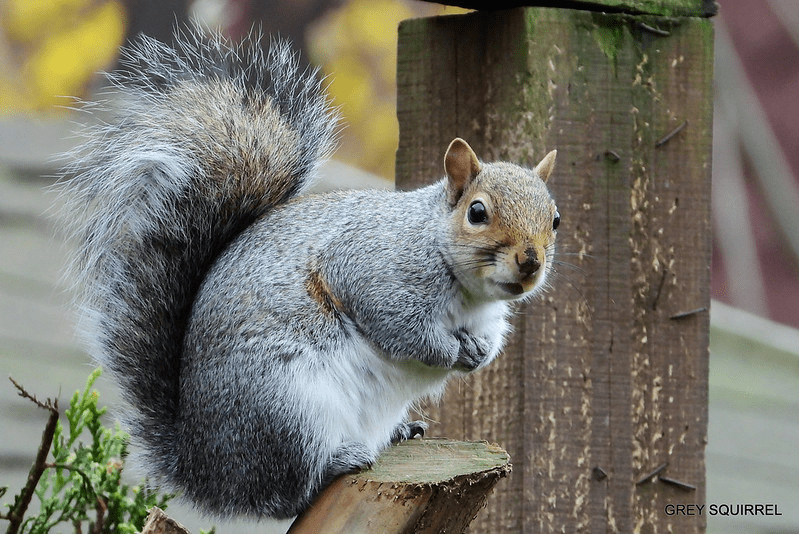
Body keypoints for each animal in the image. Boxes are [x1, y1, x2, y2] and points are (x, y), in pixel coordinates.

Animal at [62, 27, 560, 520]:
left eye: (555, 219)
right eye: (477, 212)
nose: (531, 262)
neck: (467, 291)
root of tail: (205, 468)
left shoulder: (487, 314)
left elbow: (489, 338)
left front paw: (479, 352)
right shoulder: (372, 269)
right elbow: (402, 330)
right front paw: (449, 351)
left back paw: (400, 431)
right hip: (287, 408)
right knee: (284, 494)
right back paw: (337, 462)